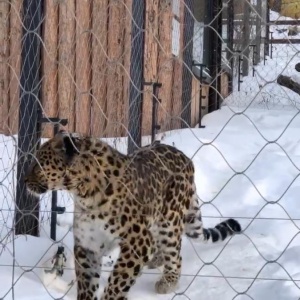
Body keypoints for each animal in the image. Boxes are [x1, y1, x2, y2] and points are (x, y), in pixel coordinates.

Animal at [25, 132, 241, 300]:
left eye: (38, 164)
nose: (25, 180)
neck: (84, 193)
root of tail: (185, 158)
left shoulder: (138, 242)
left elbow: (119, 279)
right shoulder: (88, 244)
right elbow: (87, 282)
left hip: (169, 221)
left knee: (175, 254)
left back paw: (167, 282)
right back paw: (156, 260)